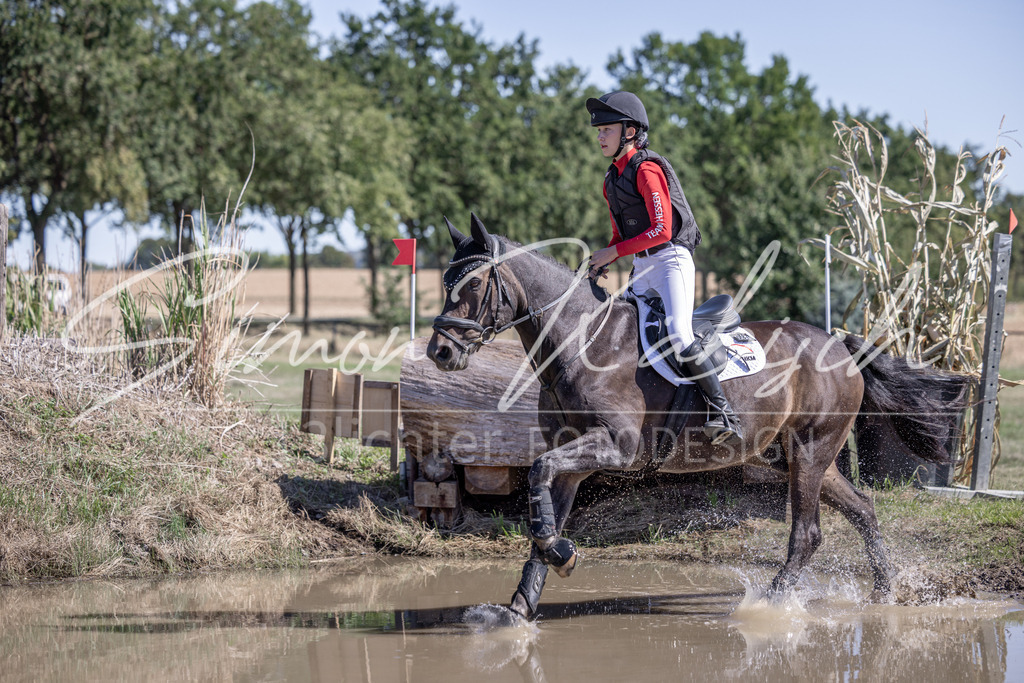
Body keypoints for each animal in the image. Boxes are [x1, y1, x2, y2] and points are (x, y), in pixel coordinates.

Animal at [425, 214, 969, 623]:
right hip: (795, 456)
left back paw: (770, 605)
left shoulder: (616, 447)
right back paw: (884, 593)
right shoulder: (572, 457)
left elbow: (538, 472)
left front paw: (558, 556)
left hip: (812, 452)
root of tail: (840, 344)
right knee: (863, 509)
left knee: (808, 533)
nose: (439, 351)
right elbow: (544, 502)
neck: (582, 343)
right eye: (448, 281)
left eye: (473, 283)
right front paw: (522, 603)